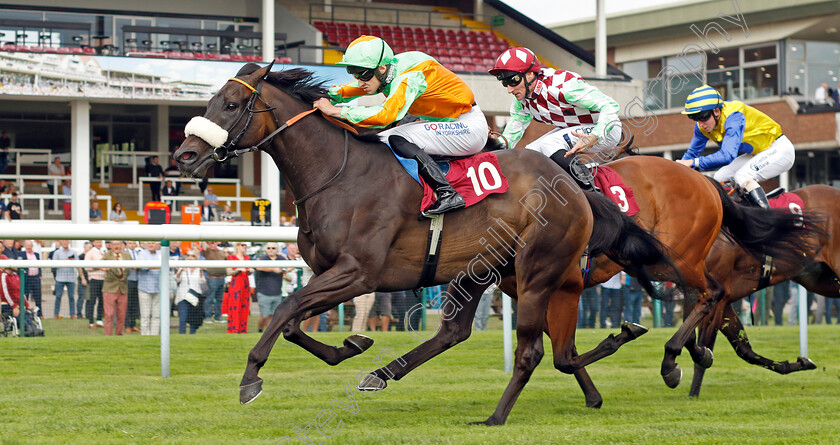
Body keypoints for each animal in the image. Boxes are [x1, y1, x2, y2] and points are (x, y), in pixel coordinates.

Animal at [172, 64, 676, 422]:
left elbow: (284, 310)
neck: (338, 174)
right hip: (482, 269)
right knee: (470, 335)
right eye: (212, 100)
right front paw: (352, 345)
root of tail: (571, 181)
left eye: (232, 104)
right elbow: (294, 322)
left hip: (537, 270)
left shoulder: (358, 273)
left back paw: (500, 412)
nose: (185, 155)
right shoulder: (327, 273)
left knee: (536, 347)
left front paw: (250, 379)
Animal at [684, 184, 836, 396]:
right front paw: (798, 363)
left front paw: (691, 392)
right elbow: (743, 349)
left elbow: (704, 347)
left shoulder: (715, 299)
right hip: (822, 279)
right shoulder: (721, 301)